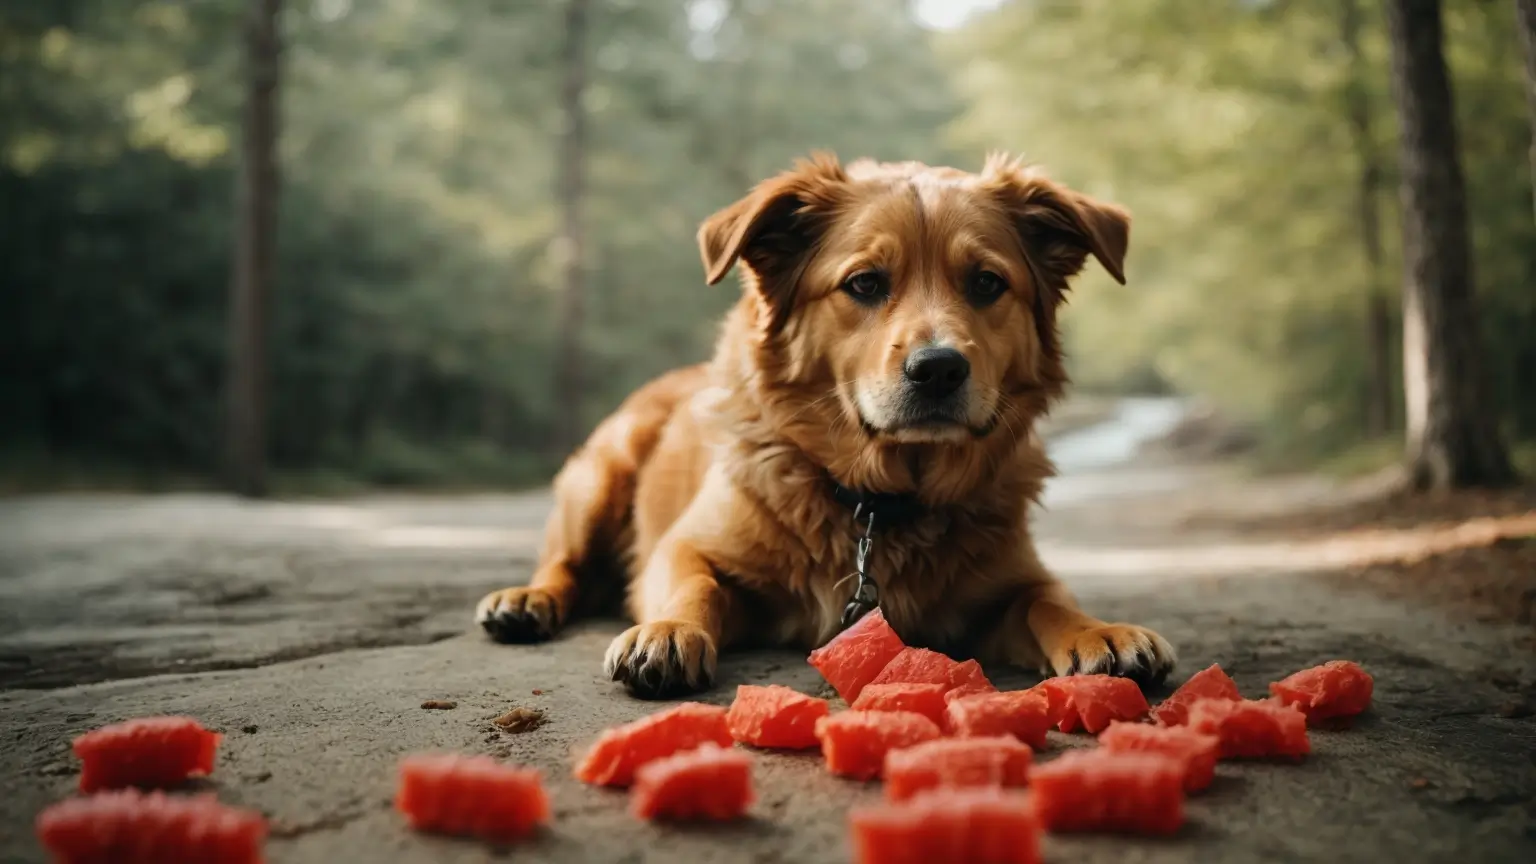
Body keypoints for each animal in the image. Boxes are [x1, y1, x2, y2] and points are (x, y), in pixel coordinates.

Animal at [476, 151, 1173, 694]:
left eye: (986, 283)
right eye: (864, 283)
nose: (939, 369)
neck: (879, 503)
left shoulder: (1014, 581)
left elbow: (1048, 600)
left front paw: (1100, 630)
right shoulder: (686, 546)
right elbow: (694, 584)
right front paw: (670, 630)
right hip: (599, 477)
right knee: (563, 563)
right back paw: (526, 601)